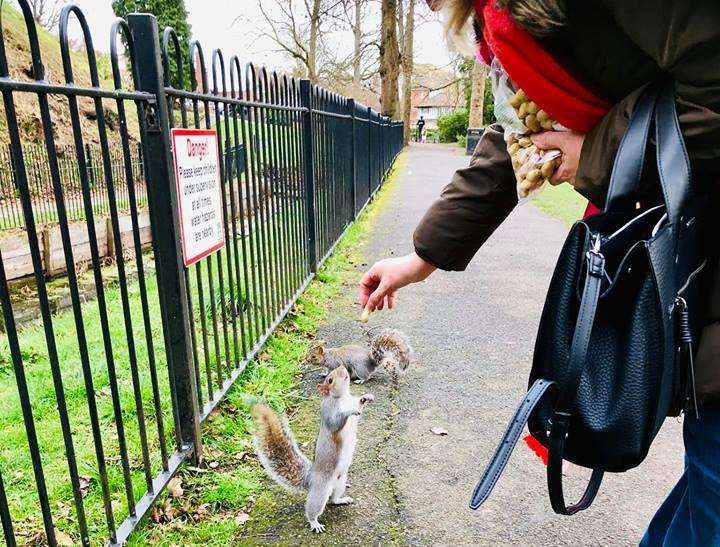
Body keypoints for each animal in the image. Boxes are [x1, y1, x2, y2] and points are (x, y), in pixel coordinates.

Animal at [252, 366, 374, 532]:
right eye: (330, 380)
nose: (342, 367)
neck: (342, 397)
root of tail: (310, 478)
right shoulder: (329, 412)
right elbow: (336, 422)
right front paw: (349, 412)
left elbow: (358, 405)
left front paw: (366, 397)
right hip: (321, 491)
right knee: (313, 508)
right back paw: (314, 522)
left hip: (340, 482)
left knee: (332, 500)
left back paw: (341, 500)